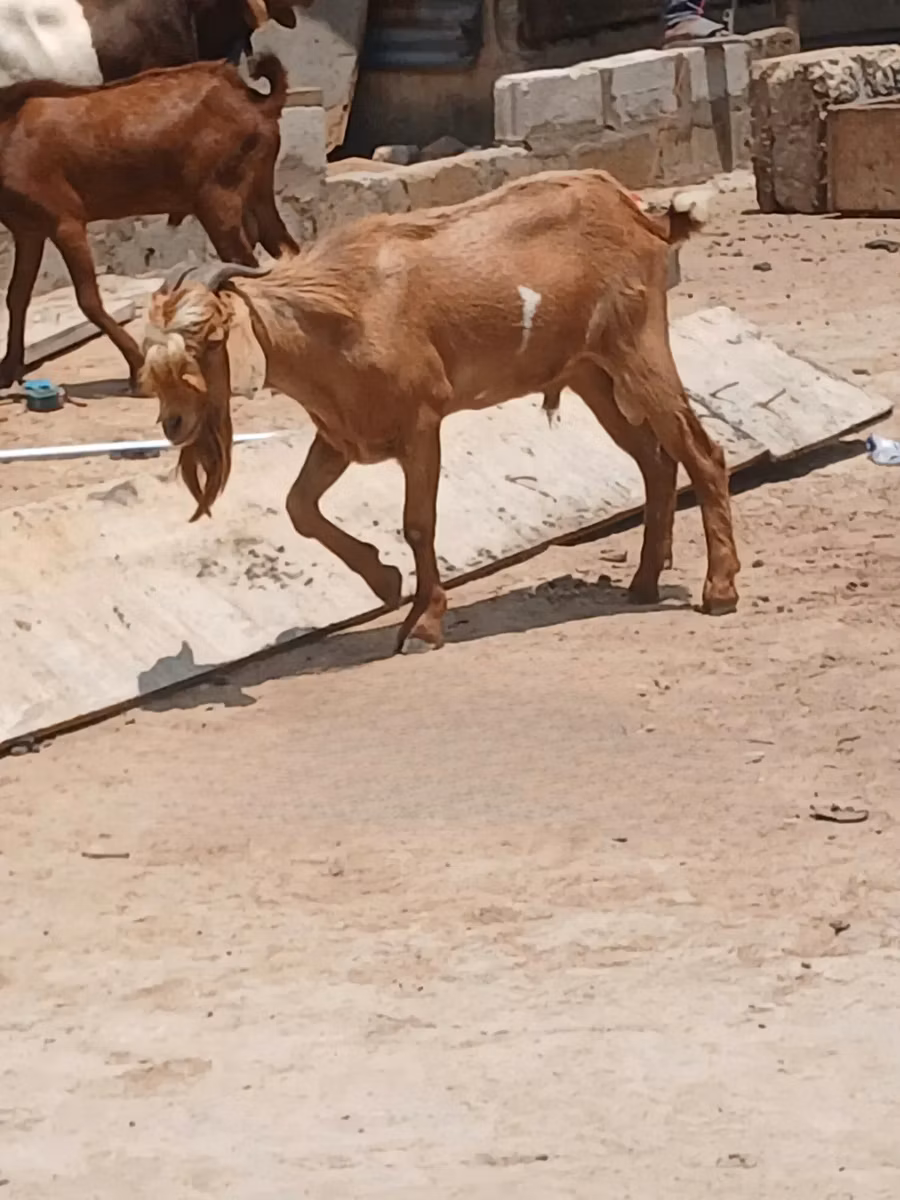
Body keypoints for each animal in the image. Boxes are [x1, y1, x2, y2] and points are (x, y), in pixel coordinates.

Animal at [0, 54, 298, 391]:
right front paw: (8, 368)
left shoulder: (65, 222)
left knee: (244, 264)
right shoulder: (28, 231)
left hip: (219, 201)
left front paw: (137, 366)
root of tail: (252, 100)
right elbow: (17, 296)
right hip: (258, 196)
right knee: (287, 251)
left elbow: (88, 300)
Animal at [141, 169, 741, 652]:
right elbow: (299, 507)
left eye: (208, 341)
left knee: (702, 452)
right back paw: (644, 582)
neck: (343, 310)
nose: (175, 424)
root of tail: (640, 215)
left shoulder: (421, 422)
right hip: (591, 374)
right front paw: (384, 581)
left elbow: (418, 524)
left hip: (638, 347)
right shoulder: (343, 434)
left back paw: (720, 590)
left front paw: (423, 624)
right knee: (656, 461)